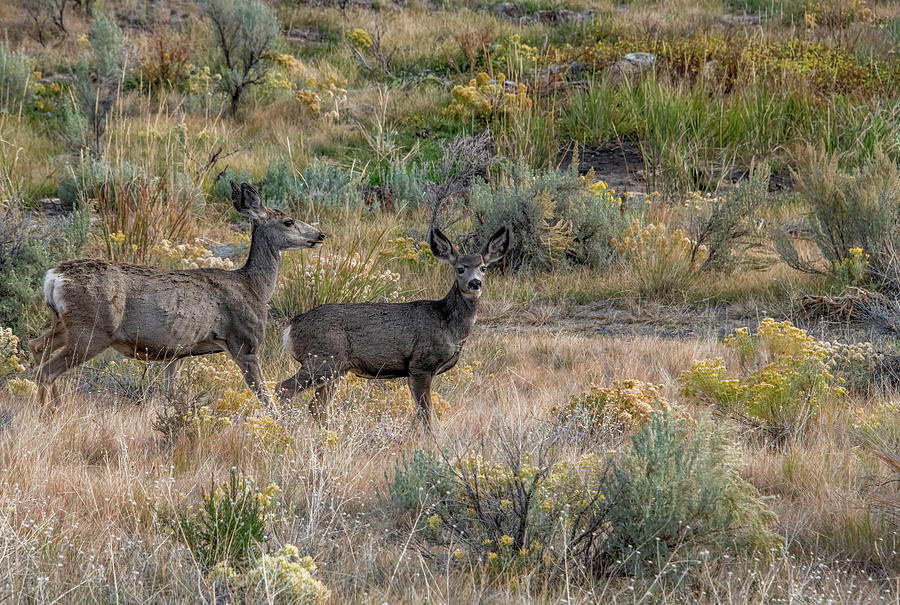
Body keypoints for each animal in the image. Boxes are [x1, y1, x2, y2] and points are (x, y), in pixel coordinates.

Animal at [29, 182, 326, 412]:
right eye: (288, 221)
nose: (320, 235)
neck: (253, 286)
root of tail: (54, 276)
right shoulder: (245, 342)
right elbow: (266, 398)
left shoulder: (176, 353)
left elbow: (170, 395)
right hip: (92, 330)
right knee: (47, 370)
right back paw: (47, 414)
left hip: (65, 324)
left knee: (36, 347)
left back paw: (52, 407)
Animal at [278, 226, 510, 430]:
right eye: (460, 268)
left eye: (483, 268)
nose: (475, 283)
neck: (448, 325)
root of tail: (290, 328)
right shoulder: (421, 365)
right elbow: (426, 412)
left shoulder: (414, 372)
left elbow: (418, 413)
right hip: (322, 359)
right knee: (283, 390)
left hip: (335, 369)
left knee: (316, 406)